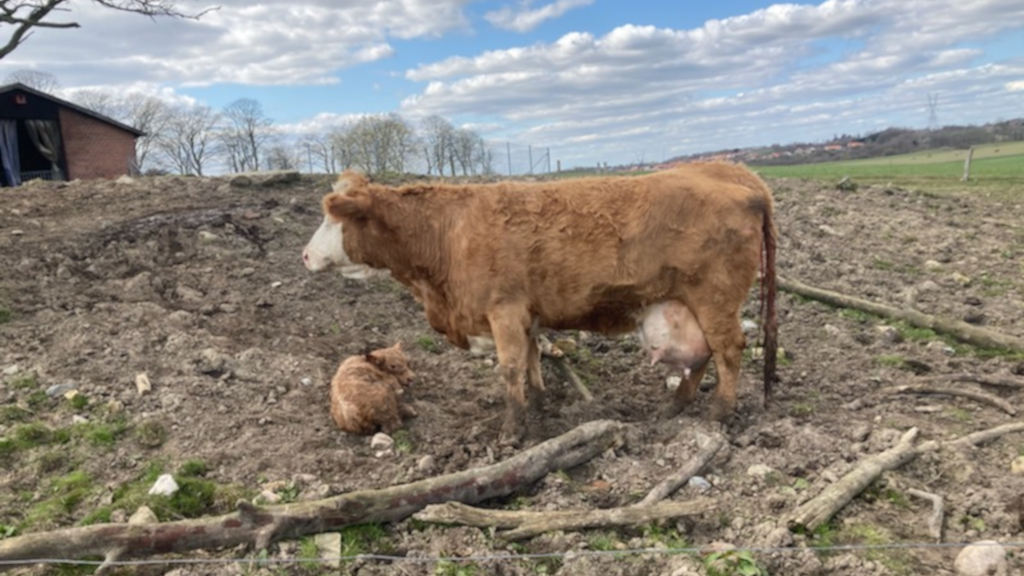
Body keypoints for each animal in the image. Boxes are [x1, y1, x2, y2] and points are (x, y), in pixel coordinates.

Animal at [304, 162, 778, 444]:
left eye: (332, 217)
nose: (305, 255)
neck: (447, 234)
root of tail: (728, 170)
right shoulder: (526, 315)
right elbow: (532, 361)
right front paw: (539, 405)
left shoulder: (504, 310)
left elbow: (510, 367)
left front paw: (512, 431)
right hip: (688, 305)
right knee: (702, 356)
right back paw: (675, 406)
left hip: (715, 299)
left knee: (728, 351)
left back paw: (719, 413)